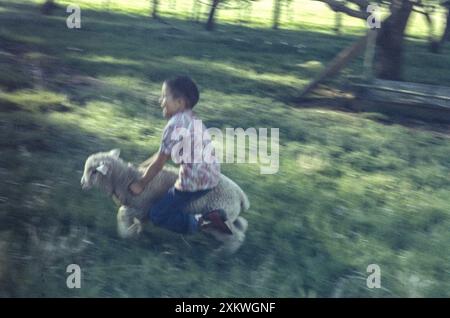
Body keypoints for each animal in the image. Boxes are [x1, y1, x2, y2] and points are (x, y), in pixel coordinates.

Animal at [81, 148, 250, 253]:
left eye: (94, 171)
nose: (82, 183)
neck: (127, 179)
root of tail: (241, 195)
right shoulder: (142, 211)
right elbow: (139, 223)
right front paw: (136, 233)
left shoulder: (141, 206)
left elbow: (122, 214)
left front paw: (125, 234)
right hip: (227, 218)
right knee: (240, 226)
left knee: (236, 236)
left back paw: (220, 254)